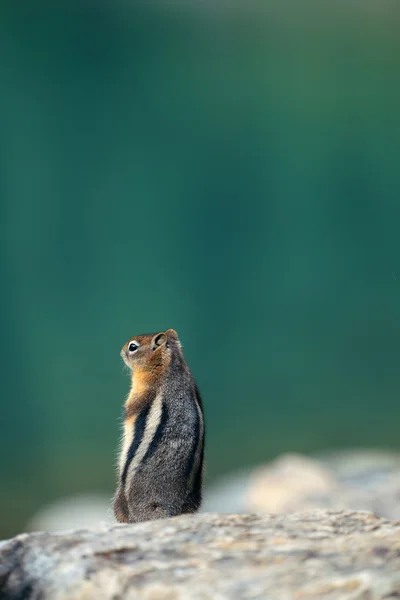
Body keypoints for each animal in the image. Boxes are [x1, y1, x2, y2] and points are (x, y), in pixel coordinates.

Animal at [113, 328, 205, 520]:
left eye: (133, 347)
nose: (121, 351)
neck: (170, 366)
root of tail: (170, 509)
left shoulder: (140, 394)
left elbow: (130, 409)